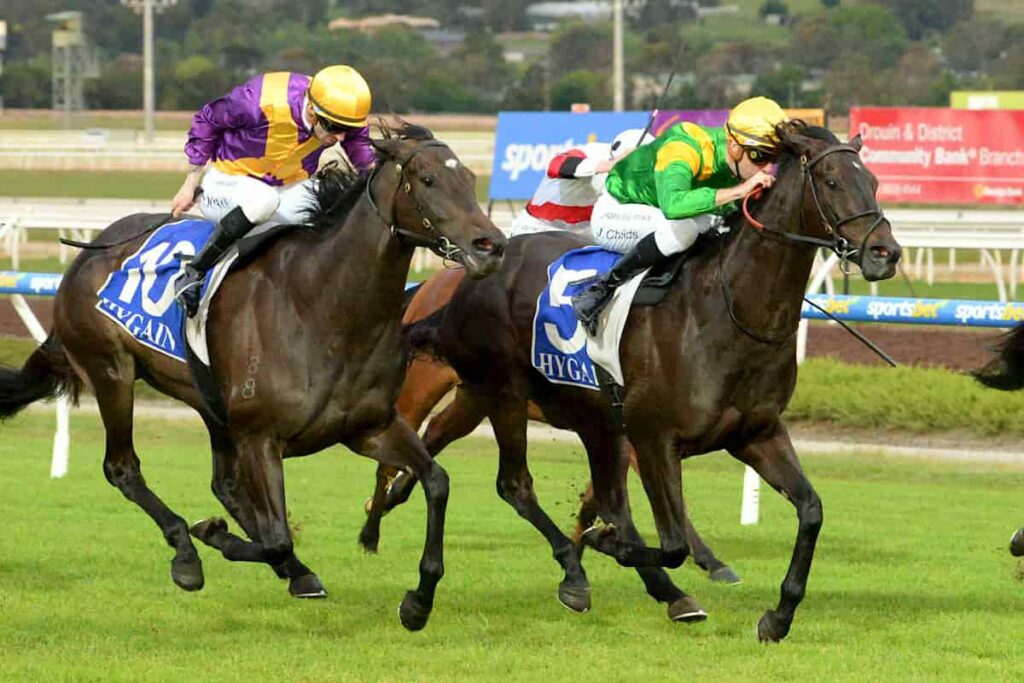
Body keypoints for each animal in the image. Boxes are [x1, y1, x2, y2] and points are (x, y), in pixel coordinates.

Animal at [0, 125, 507, 634]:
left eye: (469, 178)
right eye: (427, 179)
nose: (491, 245)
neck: (325, 308)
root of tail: (87, 257)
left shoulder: (369, 427)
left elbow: (436, 480)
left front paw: (418, 600)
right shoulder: (261, 437)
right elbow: (277, 537)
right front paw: (212, 535)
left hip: (211, 405)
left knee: (224, 485)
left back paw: (292, 571)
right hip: (112, 371)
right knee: (123, 468)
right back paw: (188, 552)